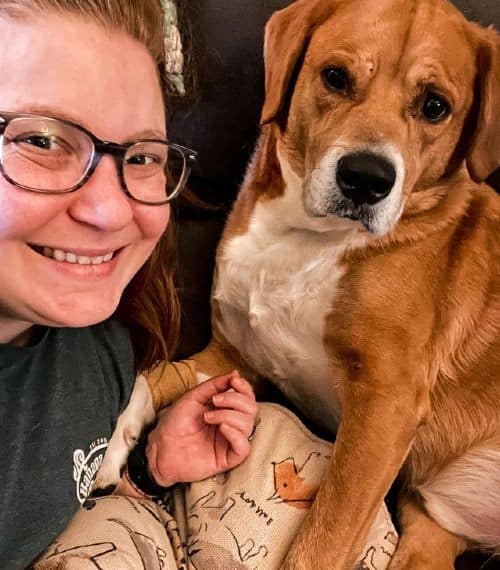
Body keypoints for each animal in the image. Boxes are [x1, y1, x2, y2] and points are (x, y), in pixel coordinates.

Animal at [98, 0, 500, 564]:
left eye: (435, 106)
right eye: (335, 77)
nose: (366, 179)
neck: (306, 237)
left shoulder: (387, 406)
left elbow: (322, 542)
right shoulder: (233, 357)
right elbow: (151, 375)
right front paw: (113, 448)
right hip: (427, 532)